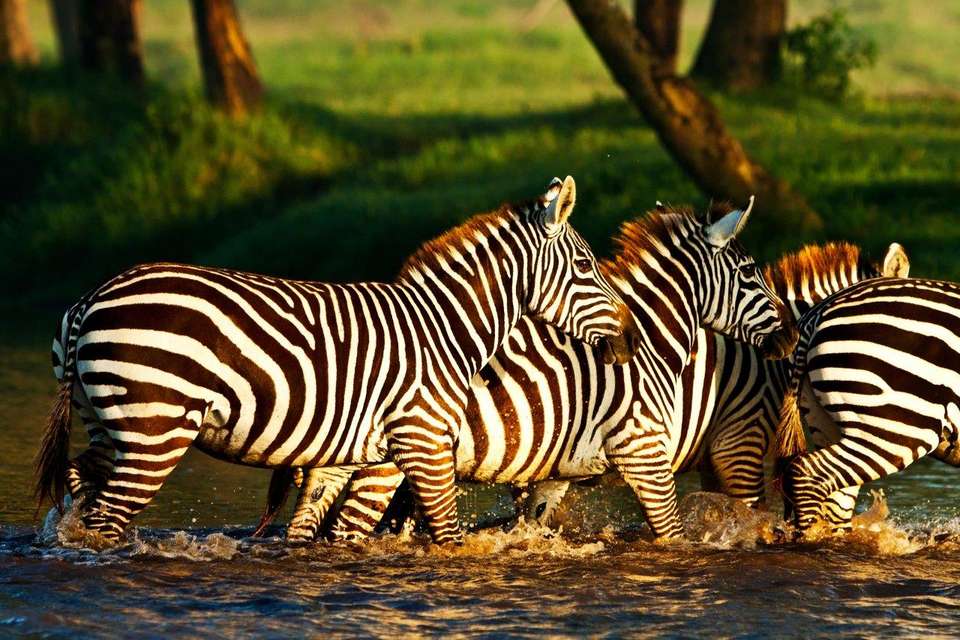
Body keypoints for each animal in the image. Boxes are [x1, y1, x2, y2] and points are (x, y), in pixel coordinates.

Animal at [35, 176, 641, 545]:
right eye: (586, 265)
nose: (631, 338)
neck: (445, 328)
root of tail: (93, 297)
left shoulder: (368, 453)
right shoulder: (422, 441)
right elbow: (446, 535)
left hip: (110, 425)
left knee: (81, 489)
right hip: (155, 432)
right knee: (107, 521)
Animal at [255, 197, 800, 542]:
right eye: (750, 273)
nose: (792, 336)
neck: (649, 346)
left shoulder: (559, 471)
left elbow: (533, 523)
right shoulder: (648, 452)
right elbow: (673, 534)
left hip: (339, 455)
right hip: (387, 463)